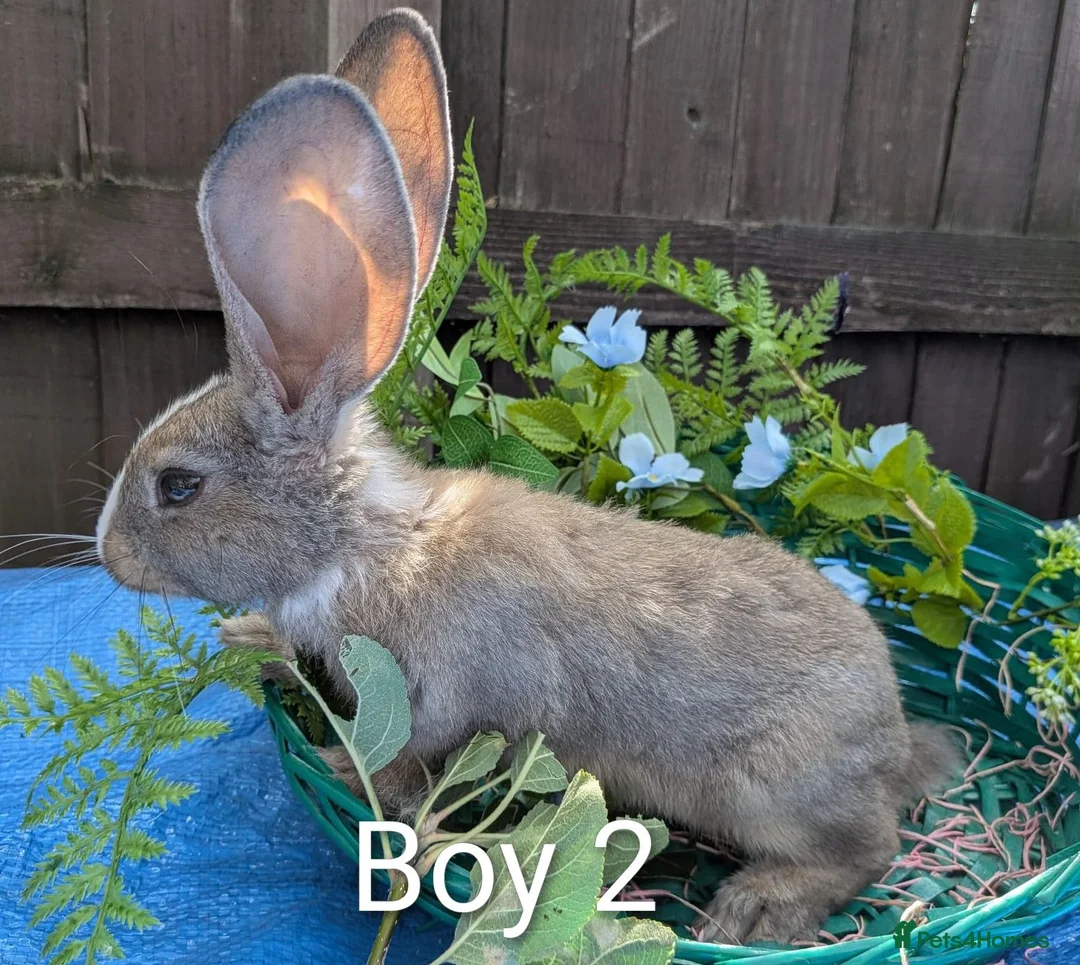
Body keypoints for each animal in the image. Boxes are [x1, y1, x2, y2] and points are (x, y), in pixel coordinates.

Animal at [95, 8, 957, 947]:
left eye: (178, 487)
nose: (107, 552)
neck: (371, 543)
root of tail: (893, 734)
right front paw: (252, 638)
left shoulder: (450, 697)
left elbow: (410, 755)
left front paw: (341, 766)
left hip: (774, 791)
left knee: (865, 849)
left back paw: (758, 906)